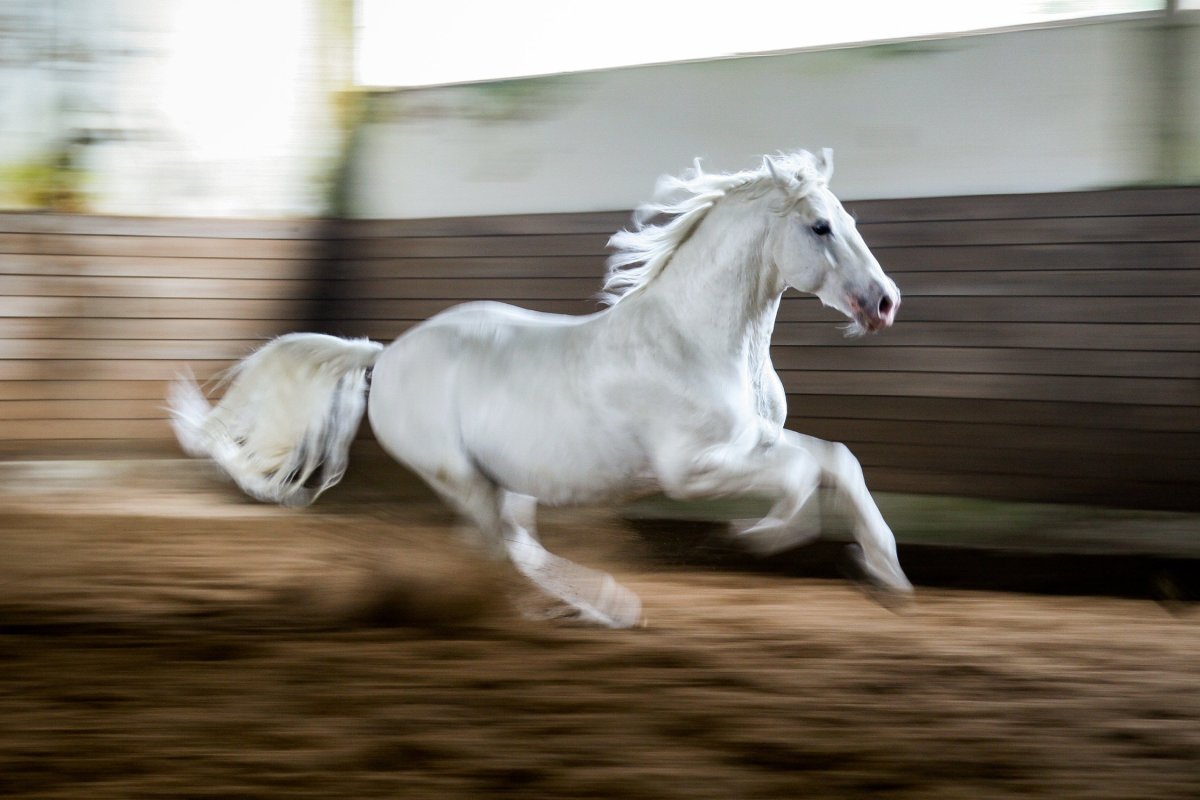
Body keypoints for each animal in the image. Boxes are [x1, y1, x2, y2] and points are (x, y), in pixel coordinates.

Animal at [168, 149, 911, 628]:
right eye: (820, 226)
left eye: (850, 220)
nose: (884, 302)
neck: (696, 339)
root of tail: (388, 353)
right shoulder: (693, 468)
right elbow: (802, 473)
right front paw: (763, 535)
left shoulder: (753, 439)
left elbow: (834, 458)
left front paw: (886, 577)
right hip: (459, 475)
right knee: (509, 549)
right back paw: (606, 607)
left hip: (507, 480)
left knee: (498, 548)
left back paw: (554, 608)